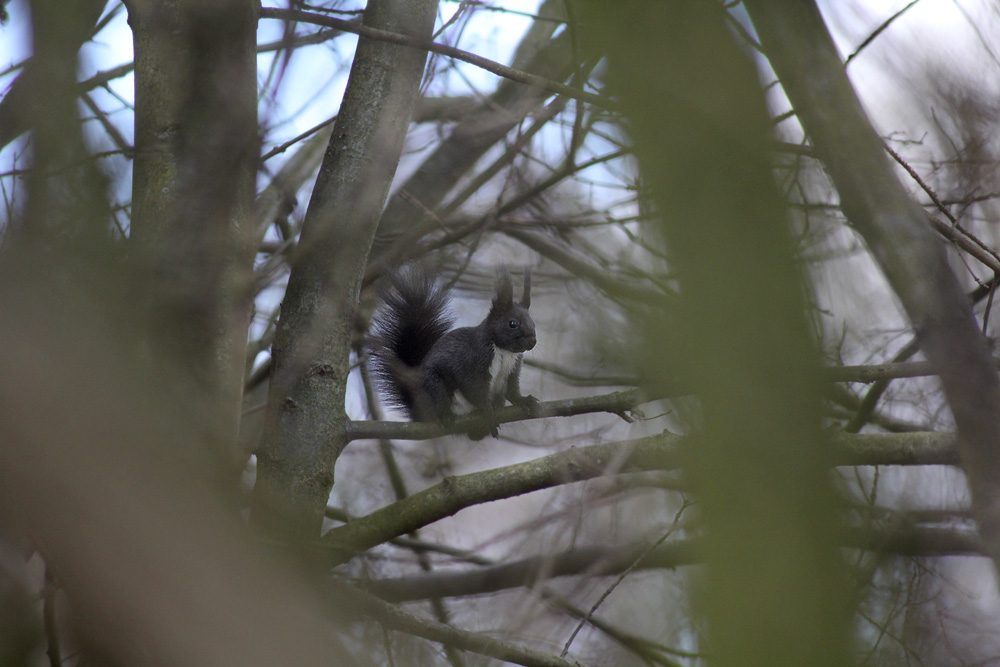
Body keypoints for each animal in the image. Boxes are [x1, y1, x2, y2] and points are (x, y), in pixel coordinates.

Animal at [370, 266, 540, 438]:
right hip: (435, 386)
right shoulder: (473, 361)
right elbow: (473, 388)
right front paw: (487, 411)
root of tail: (418, 412)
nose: (532, 342)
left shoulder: (513, 368)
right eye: (513, 324)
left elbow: (512, 390)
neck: (504, 350)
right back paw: (445, 416)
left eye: (533, 323)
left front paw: (522, 400)